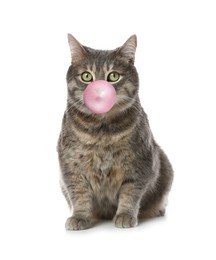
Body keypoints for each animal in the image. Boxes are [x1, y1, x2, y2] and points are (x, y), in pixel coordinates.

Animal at [57, 33, 174, 231]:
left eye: (113, 76)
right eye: (86, 76)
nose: (99, 92)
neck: (101, 131)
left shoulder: (139, 162)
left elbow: (130, 192)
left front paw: (125, 215)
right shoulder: (71, 166)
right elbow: (79, 194)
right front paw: (79, 216)